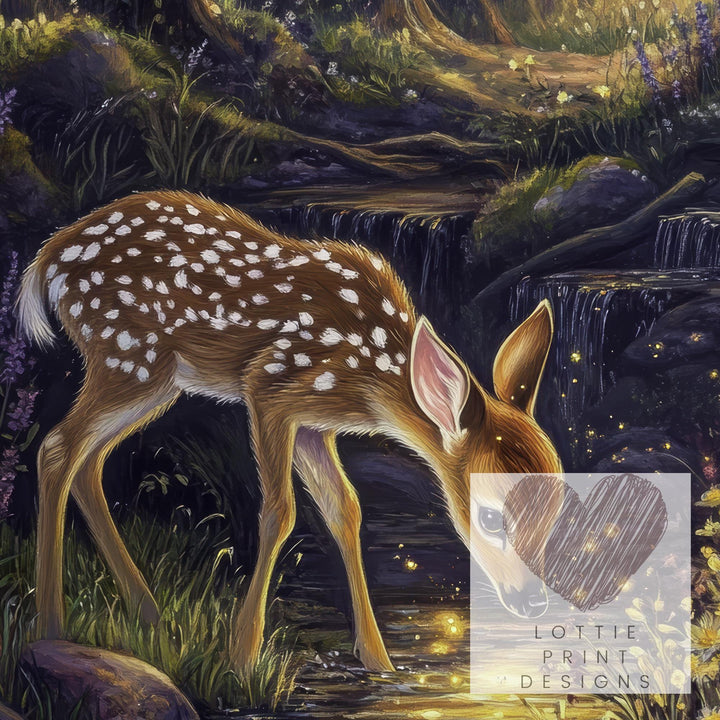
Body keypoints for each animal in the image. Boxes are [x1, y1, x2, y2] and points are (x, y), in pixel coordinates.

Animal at [17, 190, 562, 674]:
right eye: (490, 518)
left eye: (558, 510)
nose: (534, 604)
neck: (373, 380)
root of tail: (46, 260)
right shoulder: (271, 388)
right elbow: (280, 511)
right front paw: (241, 657)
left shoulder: (315, 424)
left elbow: (345, 508)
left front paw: (379, 661)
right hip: (129, 358)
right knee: (56, 447)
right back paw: (50, 628)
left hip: (152, 380)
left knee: (88, 460)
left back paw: (145, 615)